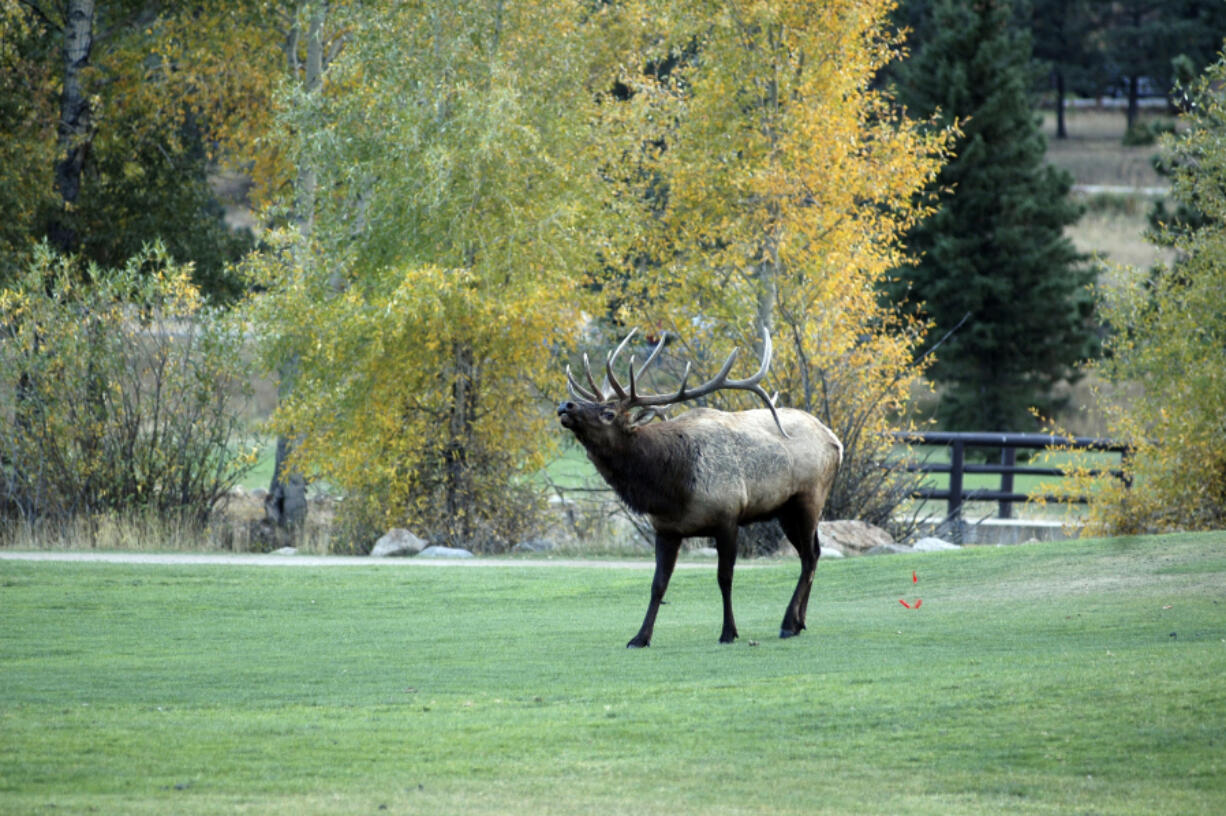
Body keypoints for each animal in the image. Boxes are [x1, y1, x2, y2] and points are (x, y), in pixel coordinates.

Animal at [559, 328, 838, 646]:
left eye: (609, 413)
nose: (566, 405)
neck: (671, 490)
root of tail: (836, 441)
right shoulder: (665, 529)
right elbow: (658, 584)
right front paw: (640, 637)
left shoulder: (728, 517)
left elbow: (724, 578)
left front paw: (728, 631)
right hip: (785, 511)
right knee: (812, 554)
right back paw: (799, 621)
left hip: (809, 498)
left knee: (809, 556)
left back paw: (789, 623)